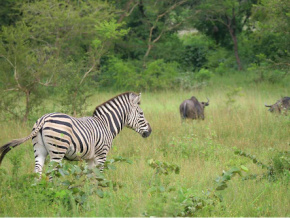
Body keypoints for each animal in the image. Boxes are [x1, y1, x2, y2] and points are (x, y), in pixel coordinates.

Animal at [0, 92, 152, 175]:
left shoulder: (90, 158)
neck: (106, 124)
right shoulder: (101, 155)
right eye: (141, 114)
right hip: (57, 151)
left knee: (37, 171)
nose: (150, 131)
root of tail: (43, 119)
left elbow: (90, 178)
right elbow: (99, 177)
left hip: (39, 150)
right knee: (50, 173)